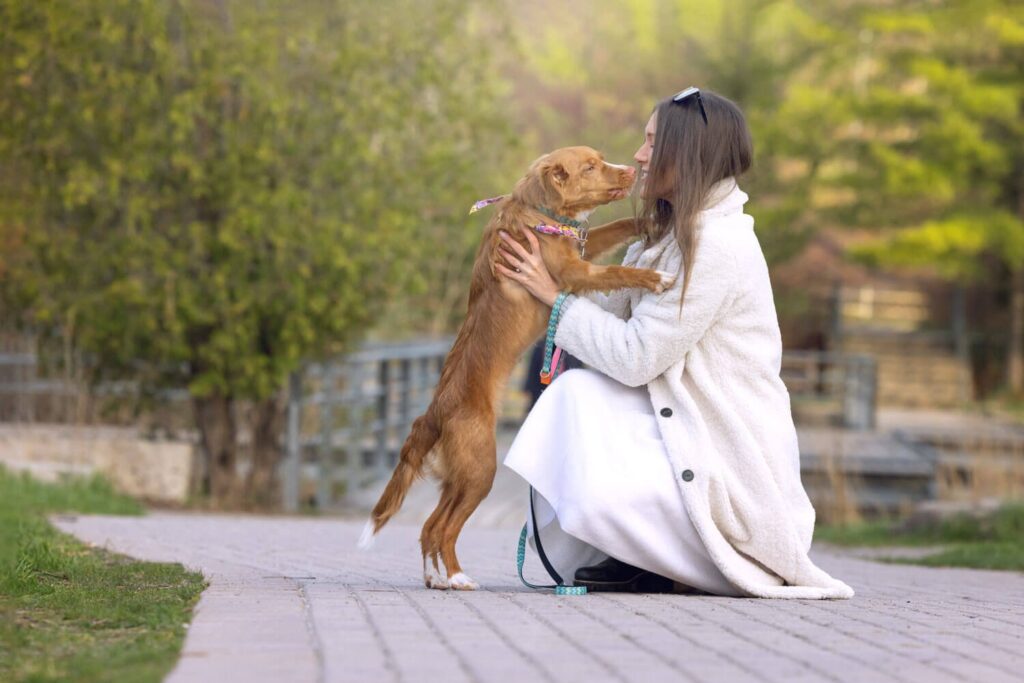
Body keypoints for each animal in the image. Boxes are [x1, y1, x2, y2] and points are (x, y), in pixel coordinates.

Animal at [356, 144, 675, 589]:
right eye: (590, 167)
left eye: (600, 160)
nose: (631, 169)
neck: (540, 213)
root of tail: (431, 414)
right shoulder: (574, 271)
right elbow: (619, 270)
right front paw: (656, 277)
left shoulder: (582, 252)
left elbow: (616, 227)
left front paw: (646, 223)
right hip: (479, 471)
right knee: (444, 528)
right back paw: (458, 577)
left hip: (457, 479)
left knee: (429, 527)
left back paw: (438, 577)